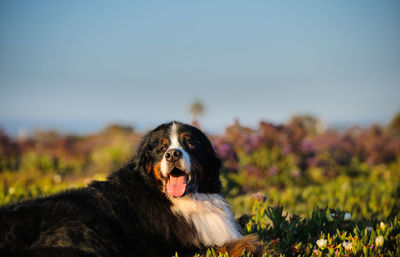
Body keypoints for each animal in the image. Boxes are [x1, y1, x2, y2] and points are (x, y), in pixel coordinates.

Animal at [0, 121, 262, 256]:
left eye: (190, 144)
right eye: (161, 148)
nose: (173, 154)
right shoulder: (172, 249)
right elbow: (225, 245)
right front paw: (253, 244)